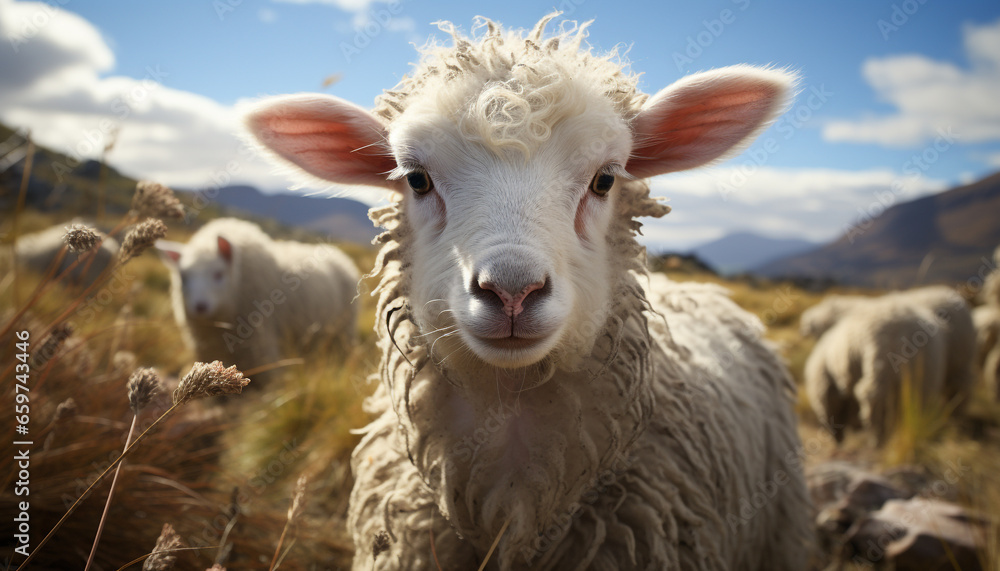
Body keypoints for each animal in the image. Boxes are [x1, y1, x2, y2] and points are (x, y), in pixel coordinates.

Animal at [156, 218, 360, 383]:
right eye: (183, 277)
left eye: (218, 274)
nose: (199, 306)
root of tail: (341, 256)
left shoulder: (261, 341)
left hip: (344, 331)